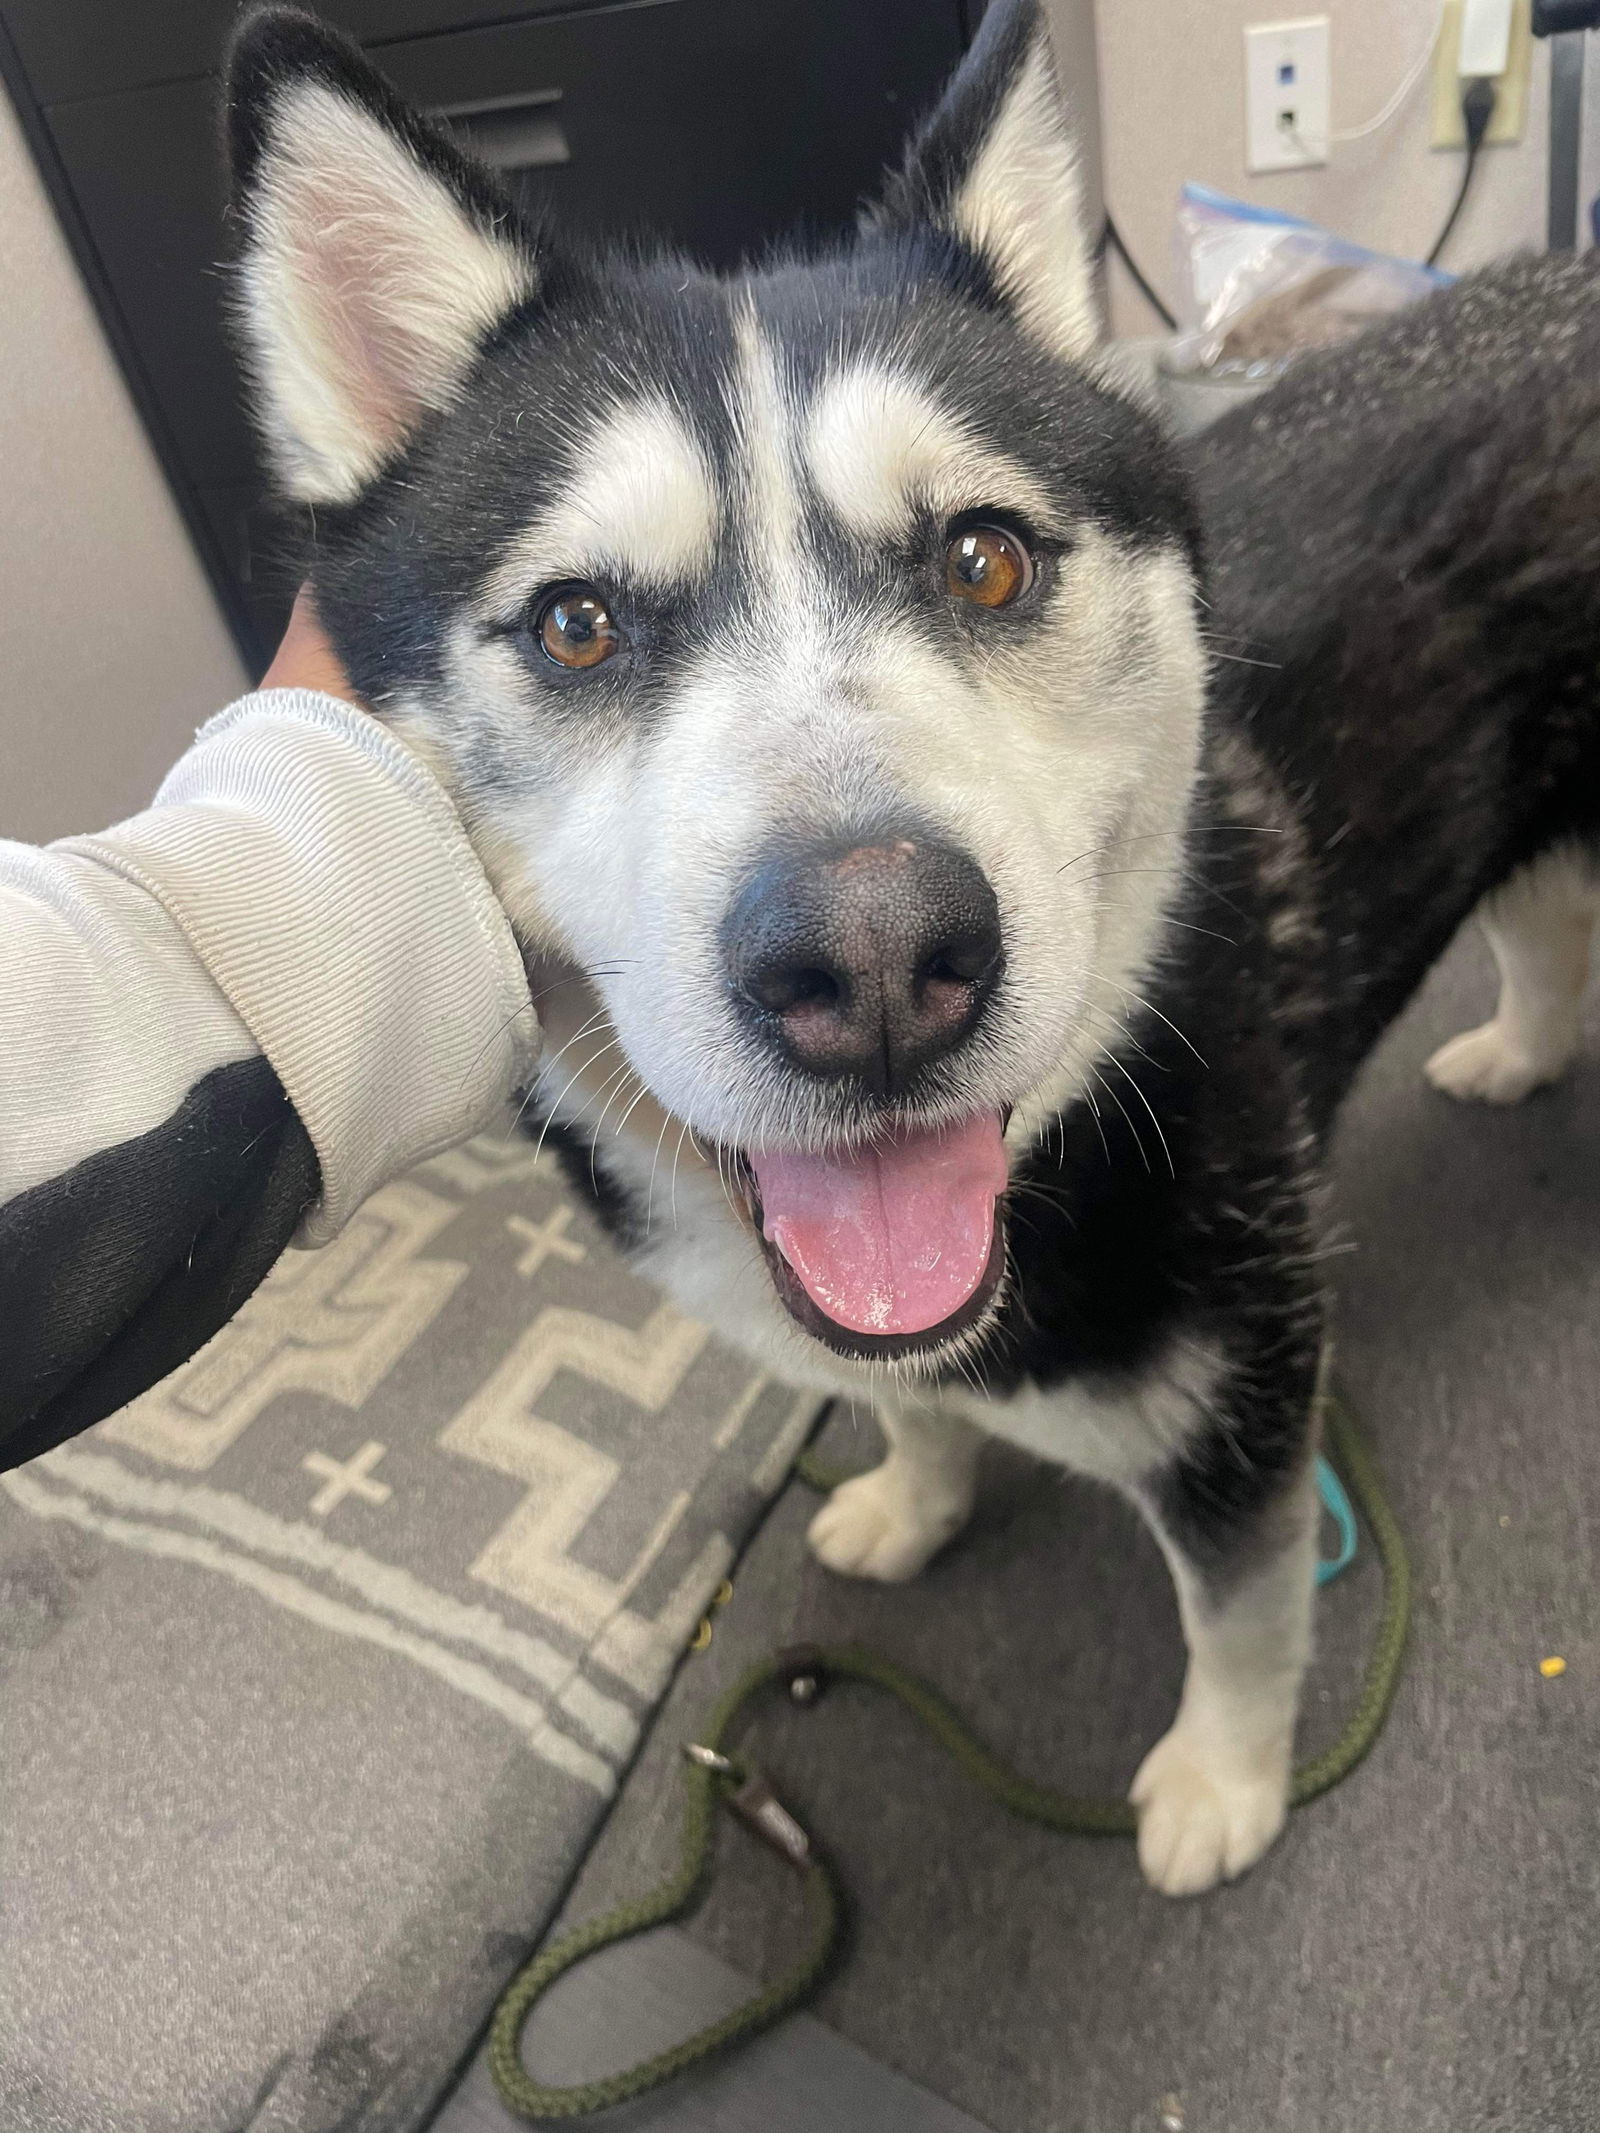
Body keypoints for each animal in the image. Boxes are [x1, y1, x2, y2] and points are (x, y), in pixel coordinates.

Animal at [222, 4, 1600, 1902]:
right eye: (577, 622)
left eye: (987, 558)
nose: (875, 960)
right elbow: (913, 1413)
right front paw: (916, 1497)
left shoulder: (1250, 1393)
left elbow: (1240, 1615)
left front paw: (1225, 1778)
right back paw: (1521, 1047)